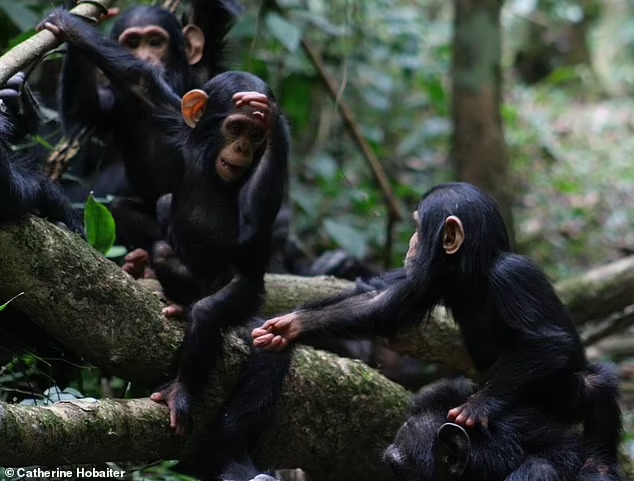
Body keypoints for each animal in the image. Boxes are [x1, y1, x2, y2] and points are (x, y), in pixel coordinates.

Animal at [40, 10, 292, 438]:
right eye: (236, 127)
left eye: (256, 134)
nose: (244, 148)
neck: (208, 156)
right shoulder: (171, 116)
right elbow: (138, 81)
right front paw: (68, 23)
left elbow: (251, 224)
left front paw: (278, 125)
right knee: (163, 244)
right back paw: (175, 299)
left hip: (246, 293)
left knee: (210, 314)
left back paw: (181, 387)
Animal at [252, 182, 624, 478]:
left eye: (419, 226)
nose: (411, 241)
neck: (475, 272)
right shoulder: (431, 280)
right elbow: (380, 306)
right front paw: (291, 325)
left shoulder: (514, 277)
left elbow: (548, 342)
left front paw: (478, 405)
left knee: (594, 383)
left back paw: (600, 462)